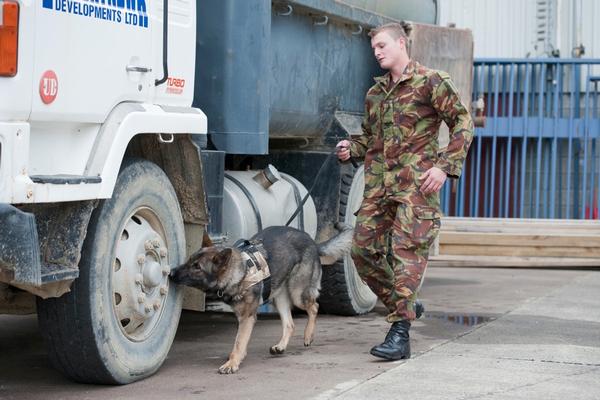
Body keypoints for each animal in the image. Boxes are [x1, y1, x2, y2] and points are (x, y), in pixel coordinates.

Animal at [169, 223, 352, 374]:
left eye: (197, 267)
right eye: (189, 261)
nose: (170, 273)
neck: (240, 273)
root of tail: (312, 241)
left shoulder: (247, 318)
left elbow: (239, 342)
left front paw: (232, 363)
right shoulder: (243, 318)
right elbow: (241, 341)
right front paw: (237, 357)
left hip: (297, 293)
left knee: (314, 307)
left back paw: (308, 336)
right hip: (279, 298)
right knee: (290, 324)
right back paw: (281, 346)